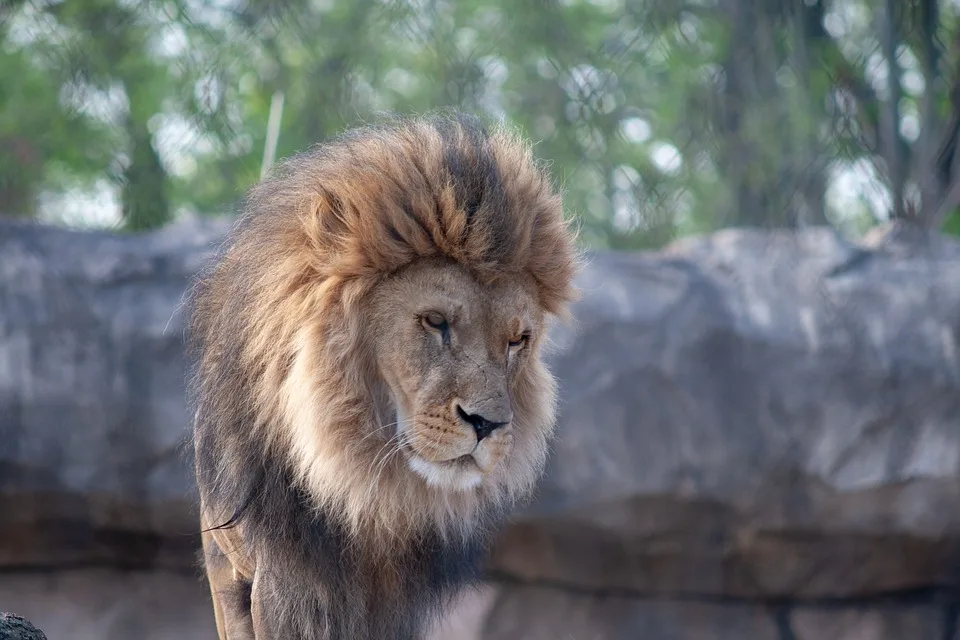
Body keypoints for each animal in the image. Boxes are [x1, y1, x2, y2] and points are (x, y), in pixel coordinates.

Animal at [187, 112, 576, 636]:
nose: (488, 425)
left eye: (517, 340)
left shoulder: (395, 602)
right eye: (435, 321)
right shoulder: (270, 576)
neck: (369, 490)